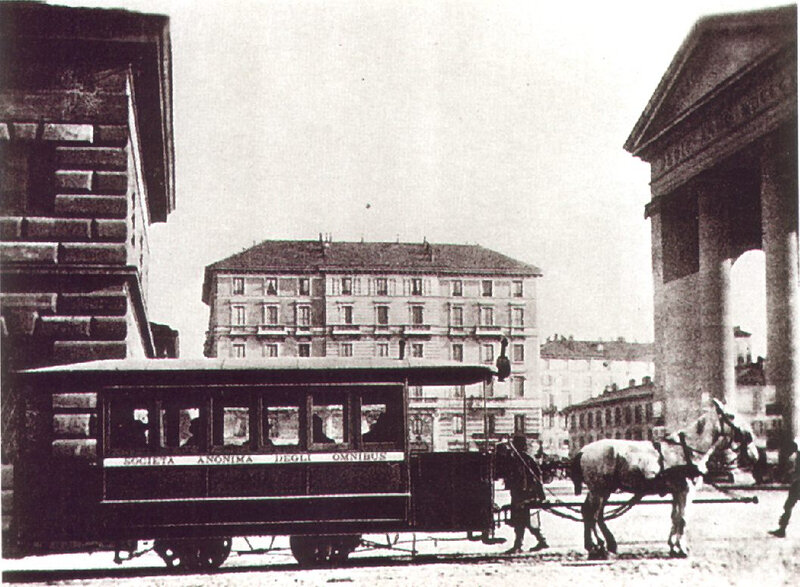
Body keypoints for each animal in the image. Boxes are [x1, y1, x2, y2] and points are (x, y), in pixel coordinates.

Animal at [568, 400, 756, 560]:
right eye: (731, 416)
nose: (750, 437)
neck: (686, 450)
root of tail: (583, 450)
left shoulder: (677, 492)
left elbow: (675, 517)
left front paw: (673, 546)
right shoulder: (685, 491)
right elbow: (683, 518)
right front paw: (682, 549)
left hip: (602, 490)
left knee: (591, 513)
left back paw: (599, 546)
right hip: (598, 489)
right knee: (592, 514)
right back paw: (598, 546)